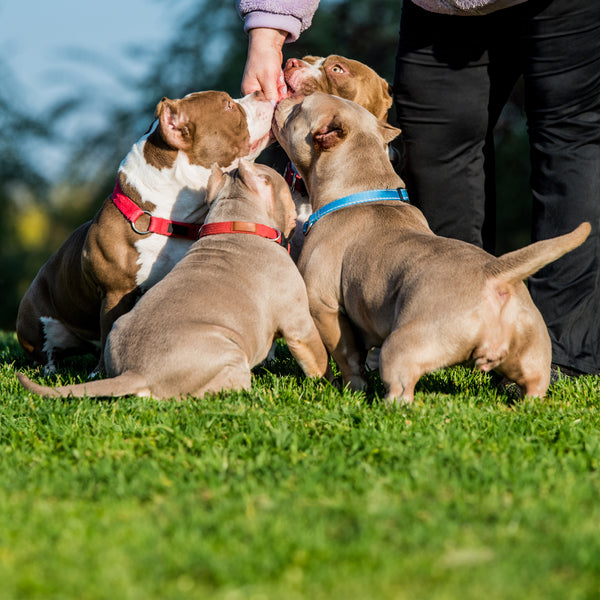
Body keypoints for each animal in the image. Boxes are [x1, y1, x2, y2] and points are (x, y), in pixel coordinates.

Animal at [15, 89, 274, 372]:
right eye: (228, 105)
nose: (261, 91)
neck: (169, 220)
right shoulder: (115, 293)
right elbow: (108, 331)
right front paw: (101, 374)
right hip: (33, 321)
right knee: (48, 352)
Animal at [17, 162, 328, 400]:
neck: (235, 223)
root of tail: (136, 371)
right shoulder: (298, 322)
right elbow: (317, 356)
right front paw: (325, 382)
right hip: (228, 351)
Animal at [274, 92, 592, 404]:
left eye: (298, 108)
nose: (282, 100)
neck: (362, 187)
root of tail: (494, 274)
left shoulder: (324, 307)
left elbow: (346, 356)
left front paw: (350, 388)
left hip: (405, 344)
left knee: (402, 386)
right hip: (531, 349)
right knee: (535, 383)